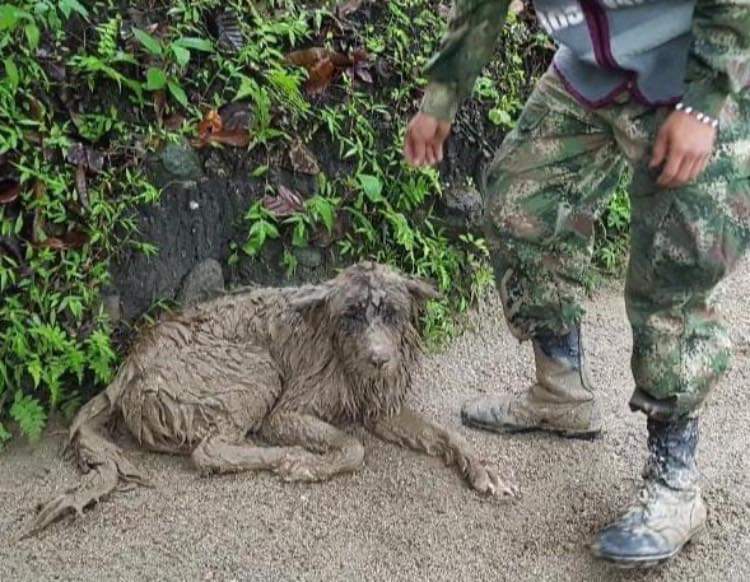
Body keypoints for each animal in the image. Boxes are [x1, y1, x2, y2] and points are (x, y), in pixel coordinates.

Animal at [27, 262, 516, 536]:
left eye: (391, 312)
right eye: (351, 314)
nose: (379, 360)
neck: (342, 353)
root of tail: (126, 368)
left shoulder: (382, 408)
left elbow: (448, 434)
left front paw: (484, 469)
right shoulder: (288, 411)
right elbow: (353, 447)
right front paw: (308, 464)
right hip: (257, 369)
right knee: (209, 451)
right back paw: (282, 455)